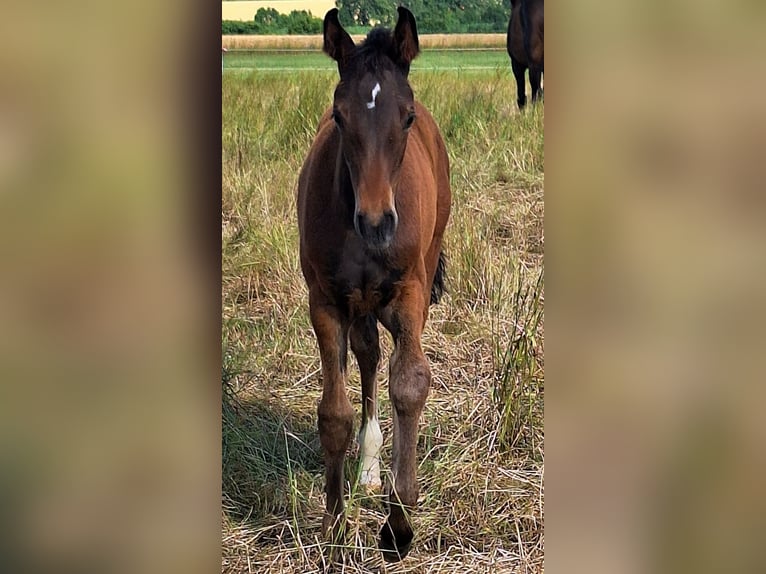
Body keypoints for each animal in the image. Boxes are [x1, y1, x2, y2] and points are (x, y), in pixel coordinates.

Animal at [297, 7, 451, 562]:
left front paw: (399, 524)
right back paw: (366, 468)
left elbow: (410, 384)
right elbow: (334, 413)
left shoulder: (408, 295)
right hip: (359, 302)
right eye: (339, 116)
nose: (377, 223)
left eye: (405, 116)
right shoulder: (325, 302)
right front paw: (334, 526)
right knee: (366, 356)